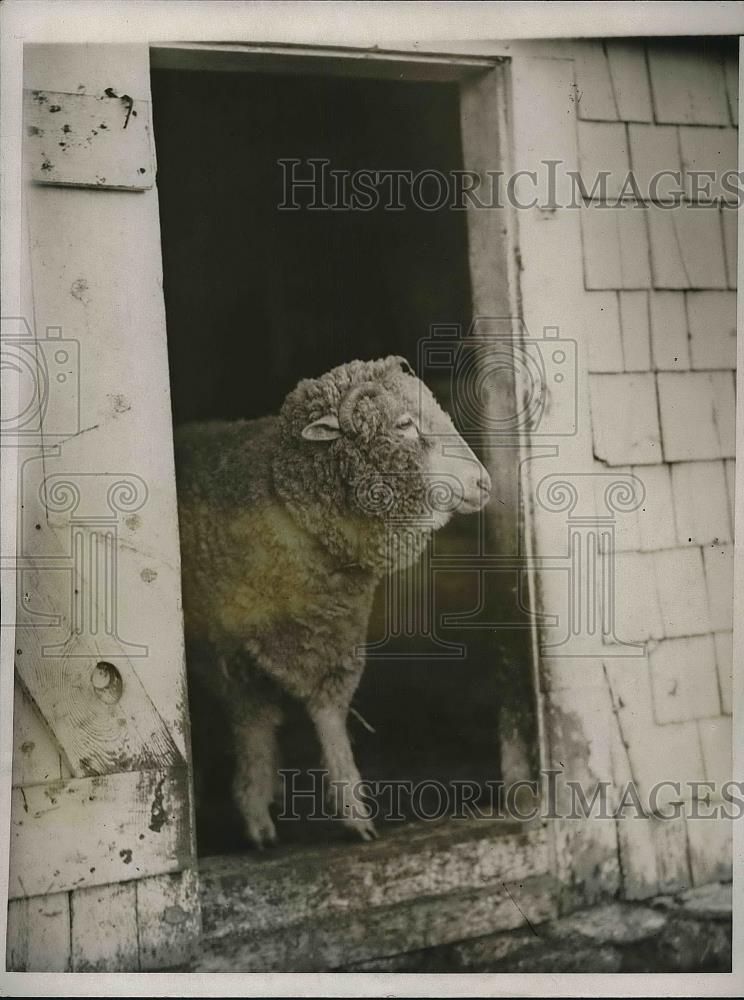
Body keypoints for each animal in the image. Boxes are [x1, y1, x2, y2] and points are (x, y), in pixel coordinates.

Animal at [173, 356, 488, 848]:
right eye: (404, 425)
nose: (484, 482)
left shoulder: (335, 638)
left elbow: (329, 718)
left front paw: (354, 812)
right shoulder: (226, 656)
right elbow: (254, 727)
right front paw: (255, 816)